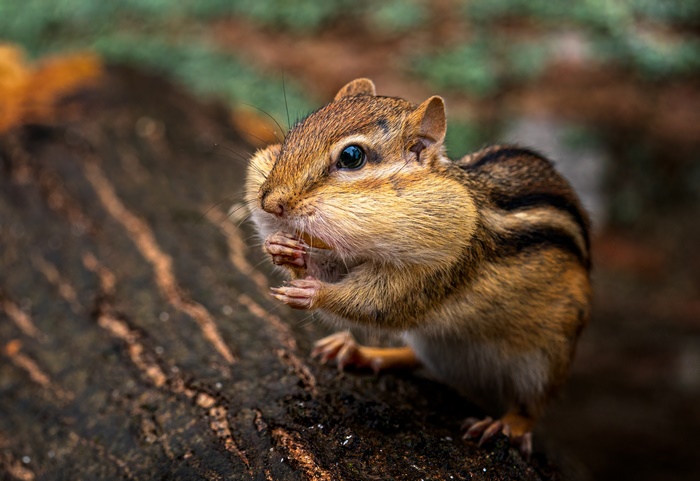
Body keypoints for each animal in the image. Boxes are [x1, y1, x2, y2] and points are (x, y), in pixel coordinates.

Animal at [245, 78, 591, 457]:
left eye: (351, 157)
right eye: (293, 134)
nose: (270, 203)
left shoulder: (444, 266)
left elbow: (382, 303)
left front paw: (312, 292)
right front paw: (282, 249)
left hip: (546, 358)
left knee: (532, 407)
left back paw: (506, 425)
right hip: (431, 343)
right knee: (415, 358)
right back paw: (360, 352)